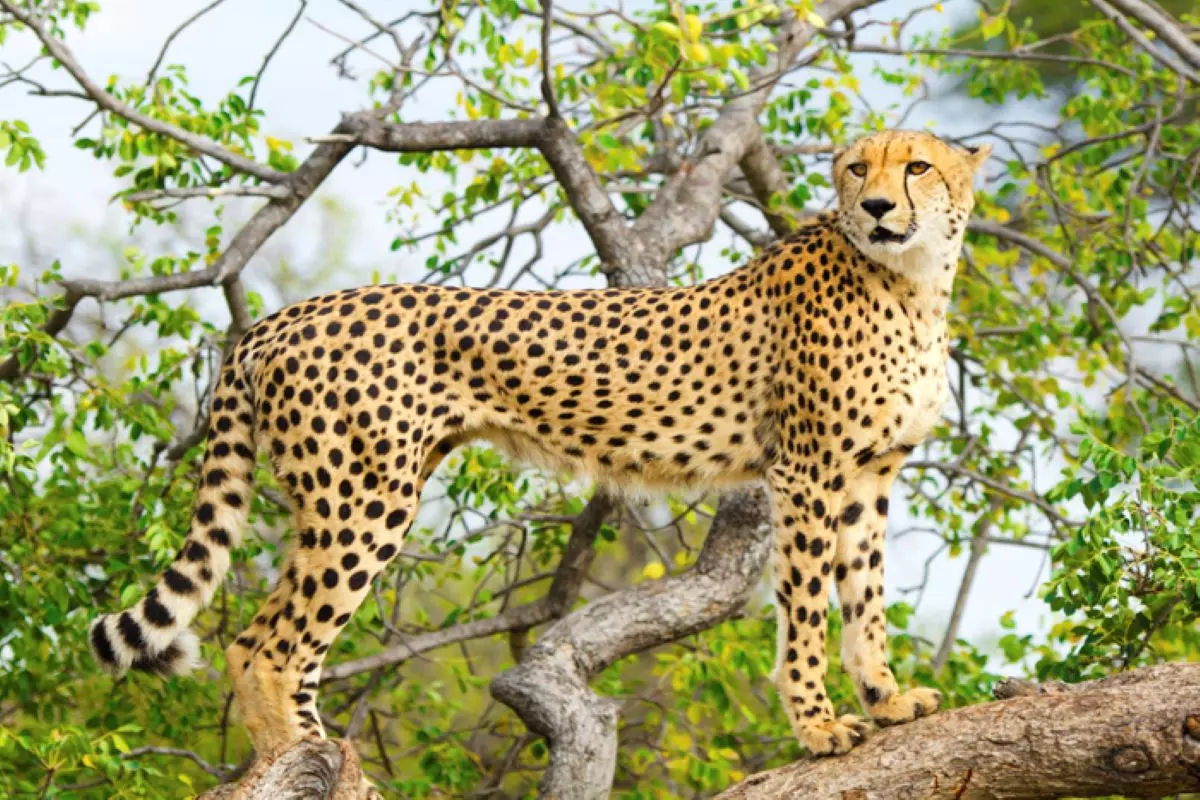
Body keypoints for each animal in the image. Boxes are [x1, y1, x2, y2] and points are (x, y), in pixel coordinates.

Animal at [89, 129, 991, 764]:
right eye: (857, 169)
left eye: (916, 168)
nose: (876, 208)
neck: (911, 280)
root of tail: (282, 315)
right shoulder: (806, 472)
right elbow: (806, 609)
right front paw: (818, 727)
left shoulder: (869, 474)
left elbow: (865, 595)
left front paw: (886, 698)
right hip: (363, 499)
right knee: (263, 648)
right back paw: (303, 759)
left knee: (284, 645)